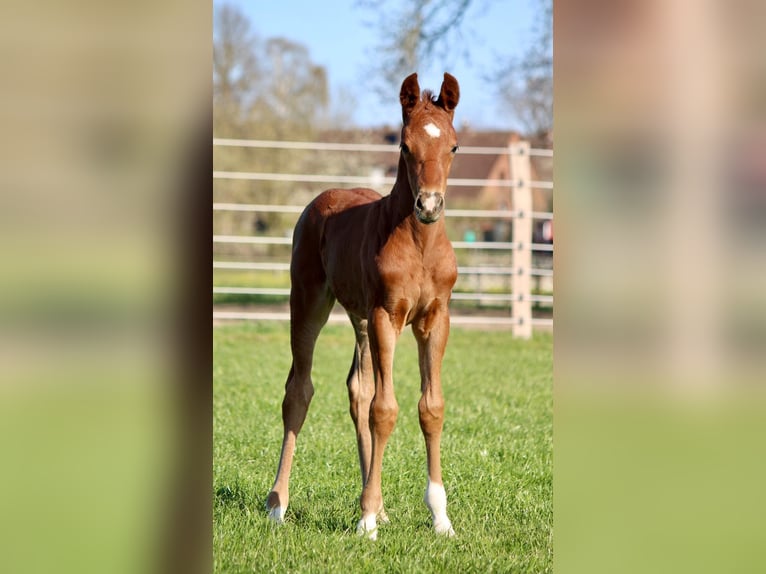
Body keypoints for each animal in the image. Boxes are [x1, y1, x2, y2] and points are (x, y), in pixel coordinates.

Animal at [266, 72, 460, 540]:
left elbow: (430, 408)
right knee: (299, 391)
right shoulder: (386, 316)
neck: (420, 245)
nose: (429, 205)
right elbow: (385, 410)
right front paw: (367, 520)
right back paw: (278, 504)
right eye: (404, 146)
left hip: (359, 319)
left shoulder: (435, 319)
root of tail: (321, 199)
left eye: (453, 147)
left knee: (359, 390)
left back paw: (382, 506)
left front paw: (440, 518)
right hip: (311, 303)